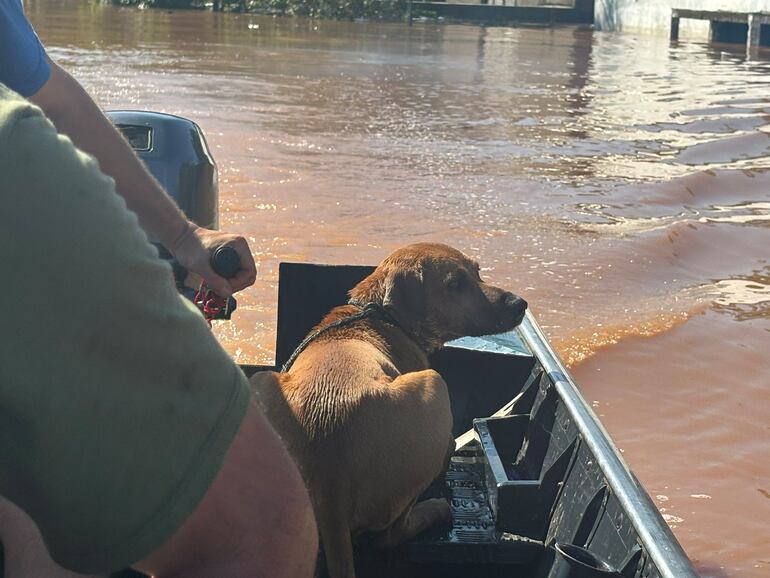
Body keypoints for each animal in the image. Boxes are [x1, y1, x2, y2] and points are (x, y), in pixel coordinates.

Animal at [249, 243, 524, 576]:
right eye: (455, 284)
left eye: (477, 270)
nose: (520, 304)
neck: (381, 315)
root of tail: (328, 475)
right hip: (434, 386)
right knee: (391, 534)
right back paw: (435, 509)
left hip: (260, 382)